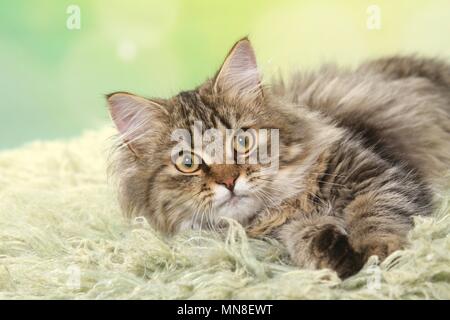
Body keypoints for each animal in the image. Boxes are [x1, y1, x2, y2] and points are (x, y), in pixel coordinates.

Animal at [106, 37, 450, 278]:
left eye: (242, 141)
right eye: (187, 163)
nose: (229, 181)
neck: (288, 203)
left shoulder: (378, 176)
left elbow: (375, 214)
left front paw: (377, 252)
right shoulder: (282, 230)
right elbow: (304, 234)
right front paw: (332, 253)